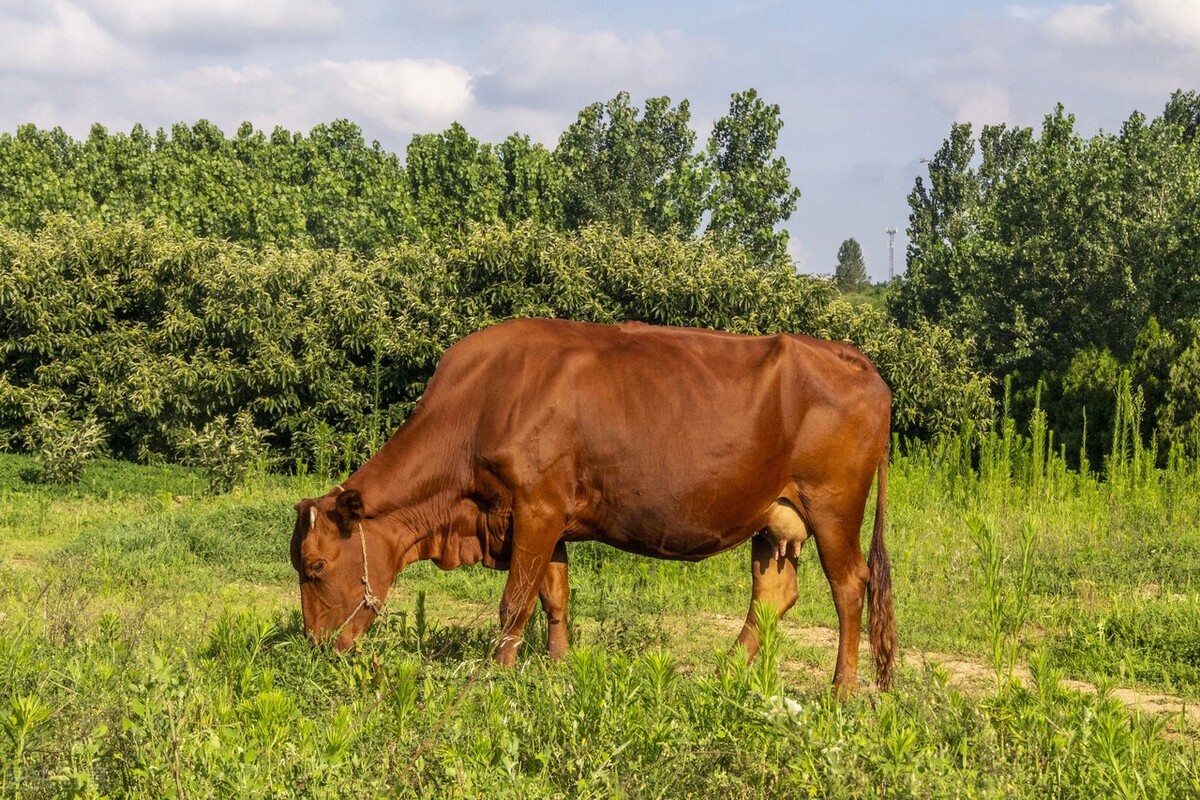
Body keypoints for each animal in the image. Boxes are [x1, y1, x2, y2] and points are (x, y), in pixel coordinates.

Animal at [290, 319, 897, 695]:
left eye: (316, 566)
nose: (315, 648)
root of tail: (855, 359)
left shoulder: (535, 507)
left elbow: (515, 603)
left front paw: (495, 677)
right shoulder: (548, 517)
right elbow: (554, 596)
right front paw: (557, 670)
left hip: (833, 507)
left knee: (850, 586)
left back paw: (841, 691)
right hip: (775, 518)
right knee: (773, 594)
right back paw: (722, 675)